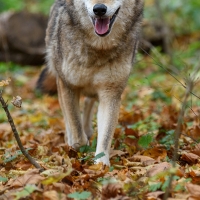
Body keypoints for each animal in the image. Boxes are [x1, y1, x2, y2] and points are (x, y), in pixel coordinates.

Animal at [37, 0, 144, 165]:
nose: (99, 9)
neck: (98, 48)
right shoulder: (67, 86)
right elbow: (75, 126)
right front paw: (76, 145)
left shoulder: (110, 93)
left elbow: (105, 135)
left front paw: (101, 165)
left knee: (89, 101)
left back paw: (87, 130)